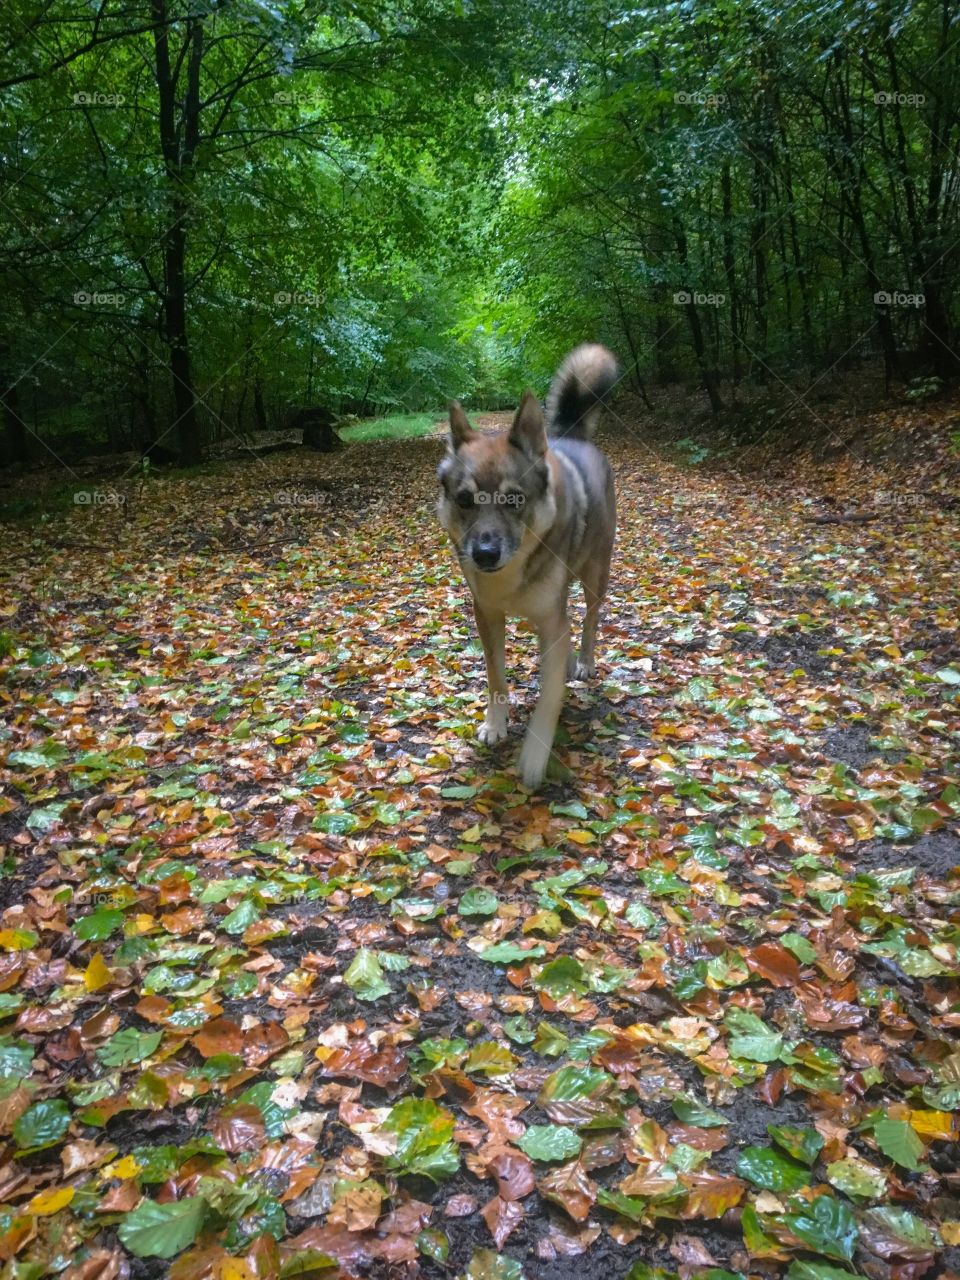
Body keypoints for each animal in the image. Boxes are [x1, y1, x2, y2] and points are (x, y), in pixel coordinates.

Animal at [437, 345, 619, 783]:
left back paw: (583, 662)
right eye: (465, 499)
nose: (485, 554)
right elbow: (496, 676)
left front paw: (536, 755)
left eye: (514, 499)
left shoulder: (551, 622)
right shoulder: (487, 615)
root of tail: (571, 436)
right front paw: (495, 724)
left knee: (588, 621)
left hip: (595, 577)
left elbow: (549, 697)